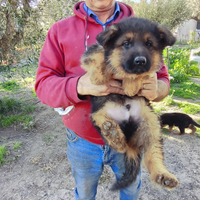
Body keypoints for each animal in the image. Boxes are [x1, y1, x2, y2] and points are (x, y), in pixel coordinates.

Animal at [81, 17, 178, 191]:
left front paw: (131, 85)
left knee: (152, 154)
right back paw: (113, 134)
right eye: (126, 43)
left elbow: (142, 73)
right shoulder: (92, 50)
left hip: (151, 123)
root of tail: (130, 141)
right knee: (113, 137)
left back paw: (163, 176)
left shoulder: (148, 70)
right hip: (98, 114)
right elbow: (100, 54)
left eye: (149, 44)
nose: (140, 61)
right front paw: (99, 75)